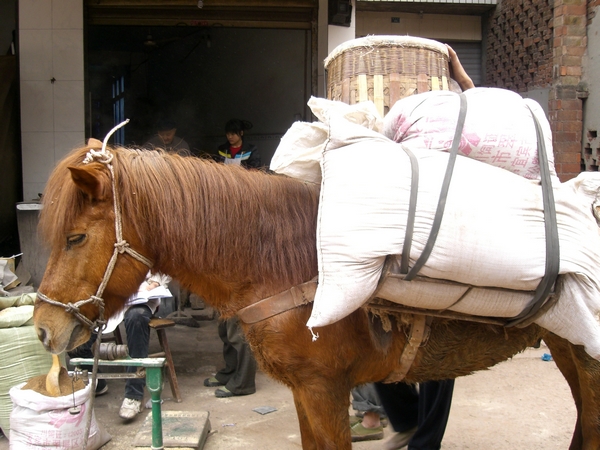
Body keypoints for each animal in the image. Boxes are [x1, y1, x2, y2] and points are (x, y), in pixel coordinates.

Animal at [34, 142, 600, 448]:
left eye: (76, 238)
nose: (44, 328)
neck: (282, 263)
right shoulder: (305, 391)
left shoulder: (324, 388)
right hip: (569, 348)